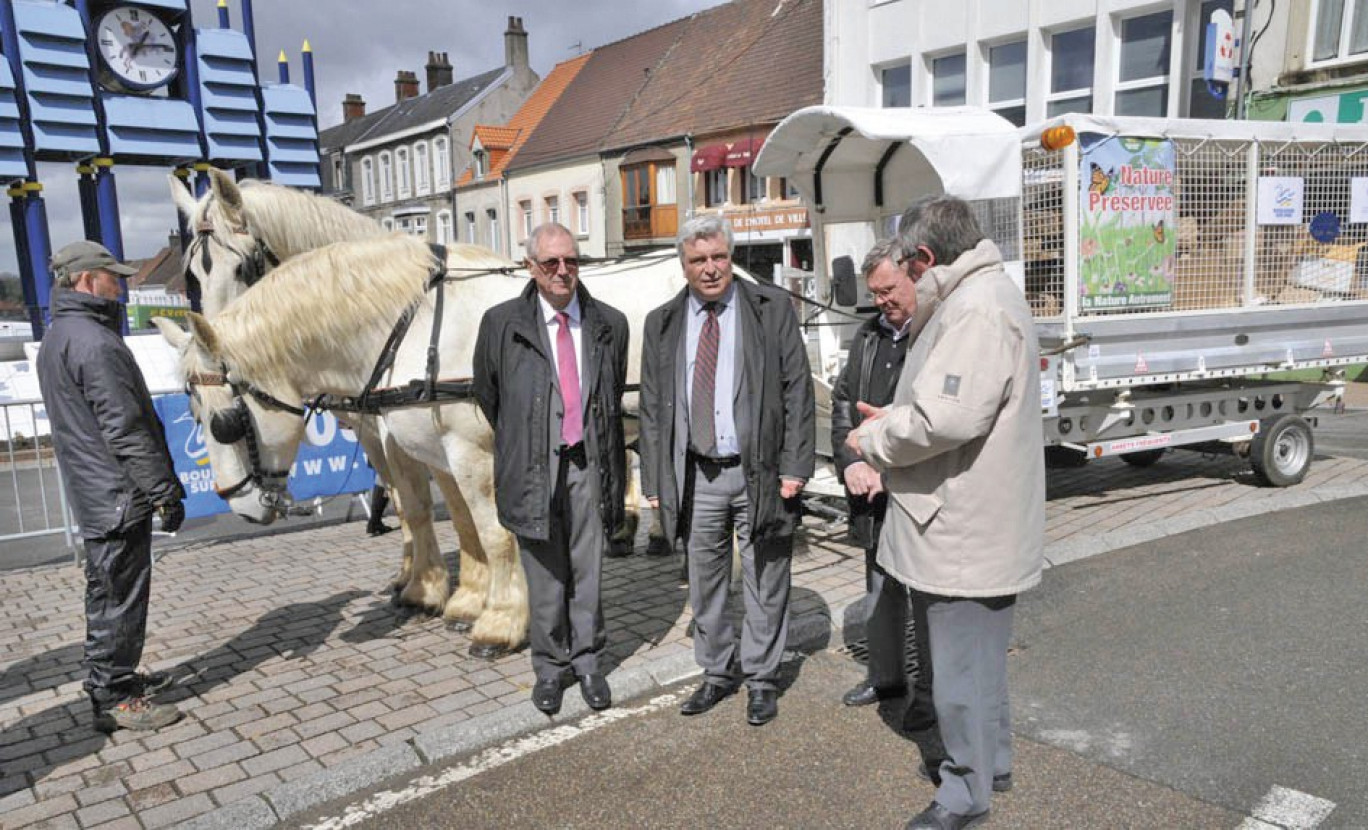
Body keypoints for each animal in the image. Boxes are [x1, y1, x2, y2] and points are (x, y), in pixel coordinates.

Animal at [156, 232, 689, 656]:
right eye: (194, 417)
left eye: (225, 423)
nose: (238, 503)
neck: (412, 322)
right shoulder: (439, 453)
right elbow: (460, 524)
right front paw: (464, 602)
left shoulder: (473, 452)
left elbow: (494, 534)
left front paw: (499, 623)